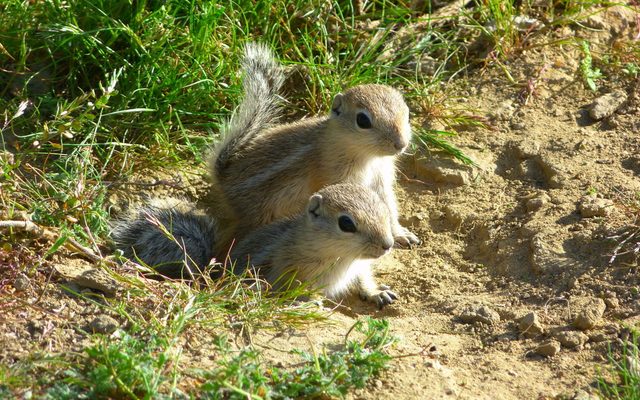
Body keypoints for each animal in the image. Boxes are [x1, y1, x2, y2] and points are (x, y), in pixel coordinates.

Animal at [111, 183, 398, 308]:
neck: (344, 257)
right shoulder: (293, 272)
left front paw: (377, 293)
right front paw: (312, 301)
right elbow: (293, 291)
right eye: (346, 223)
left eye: (383, 206)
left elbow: (364, 281)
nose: (387, 245)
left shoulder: (359, 268)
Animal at [208, 42, 420, 256]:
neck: (369, 157)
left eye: (407, 114)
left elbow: (387, 205)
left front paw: (401, 234)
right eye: (363, 120)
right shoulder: (338, 175)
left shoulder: (381, 178)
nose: (400, 144)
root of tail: (223, 177)